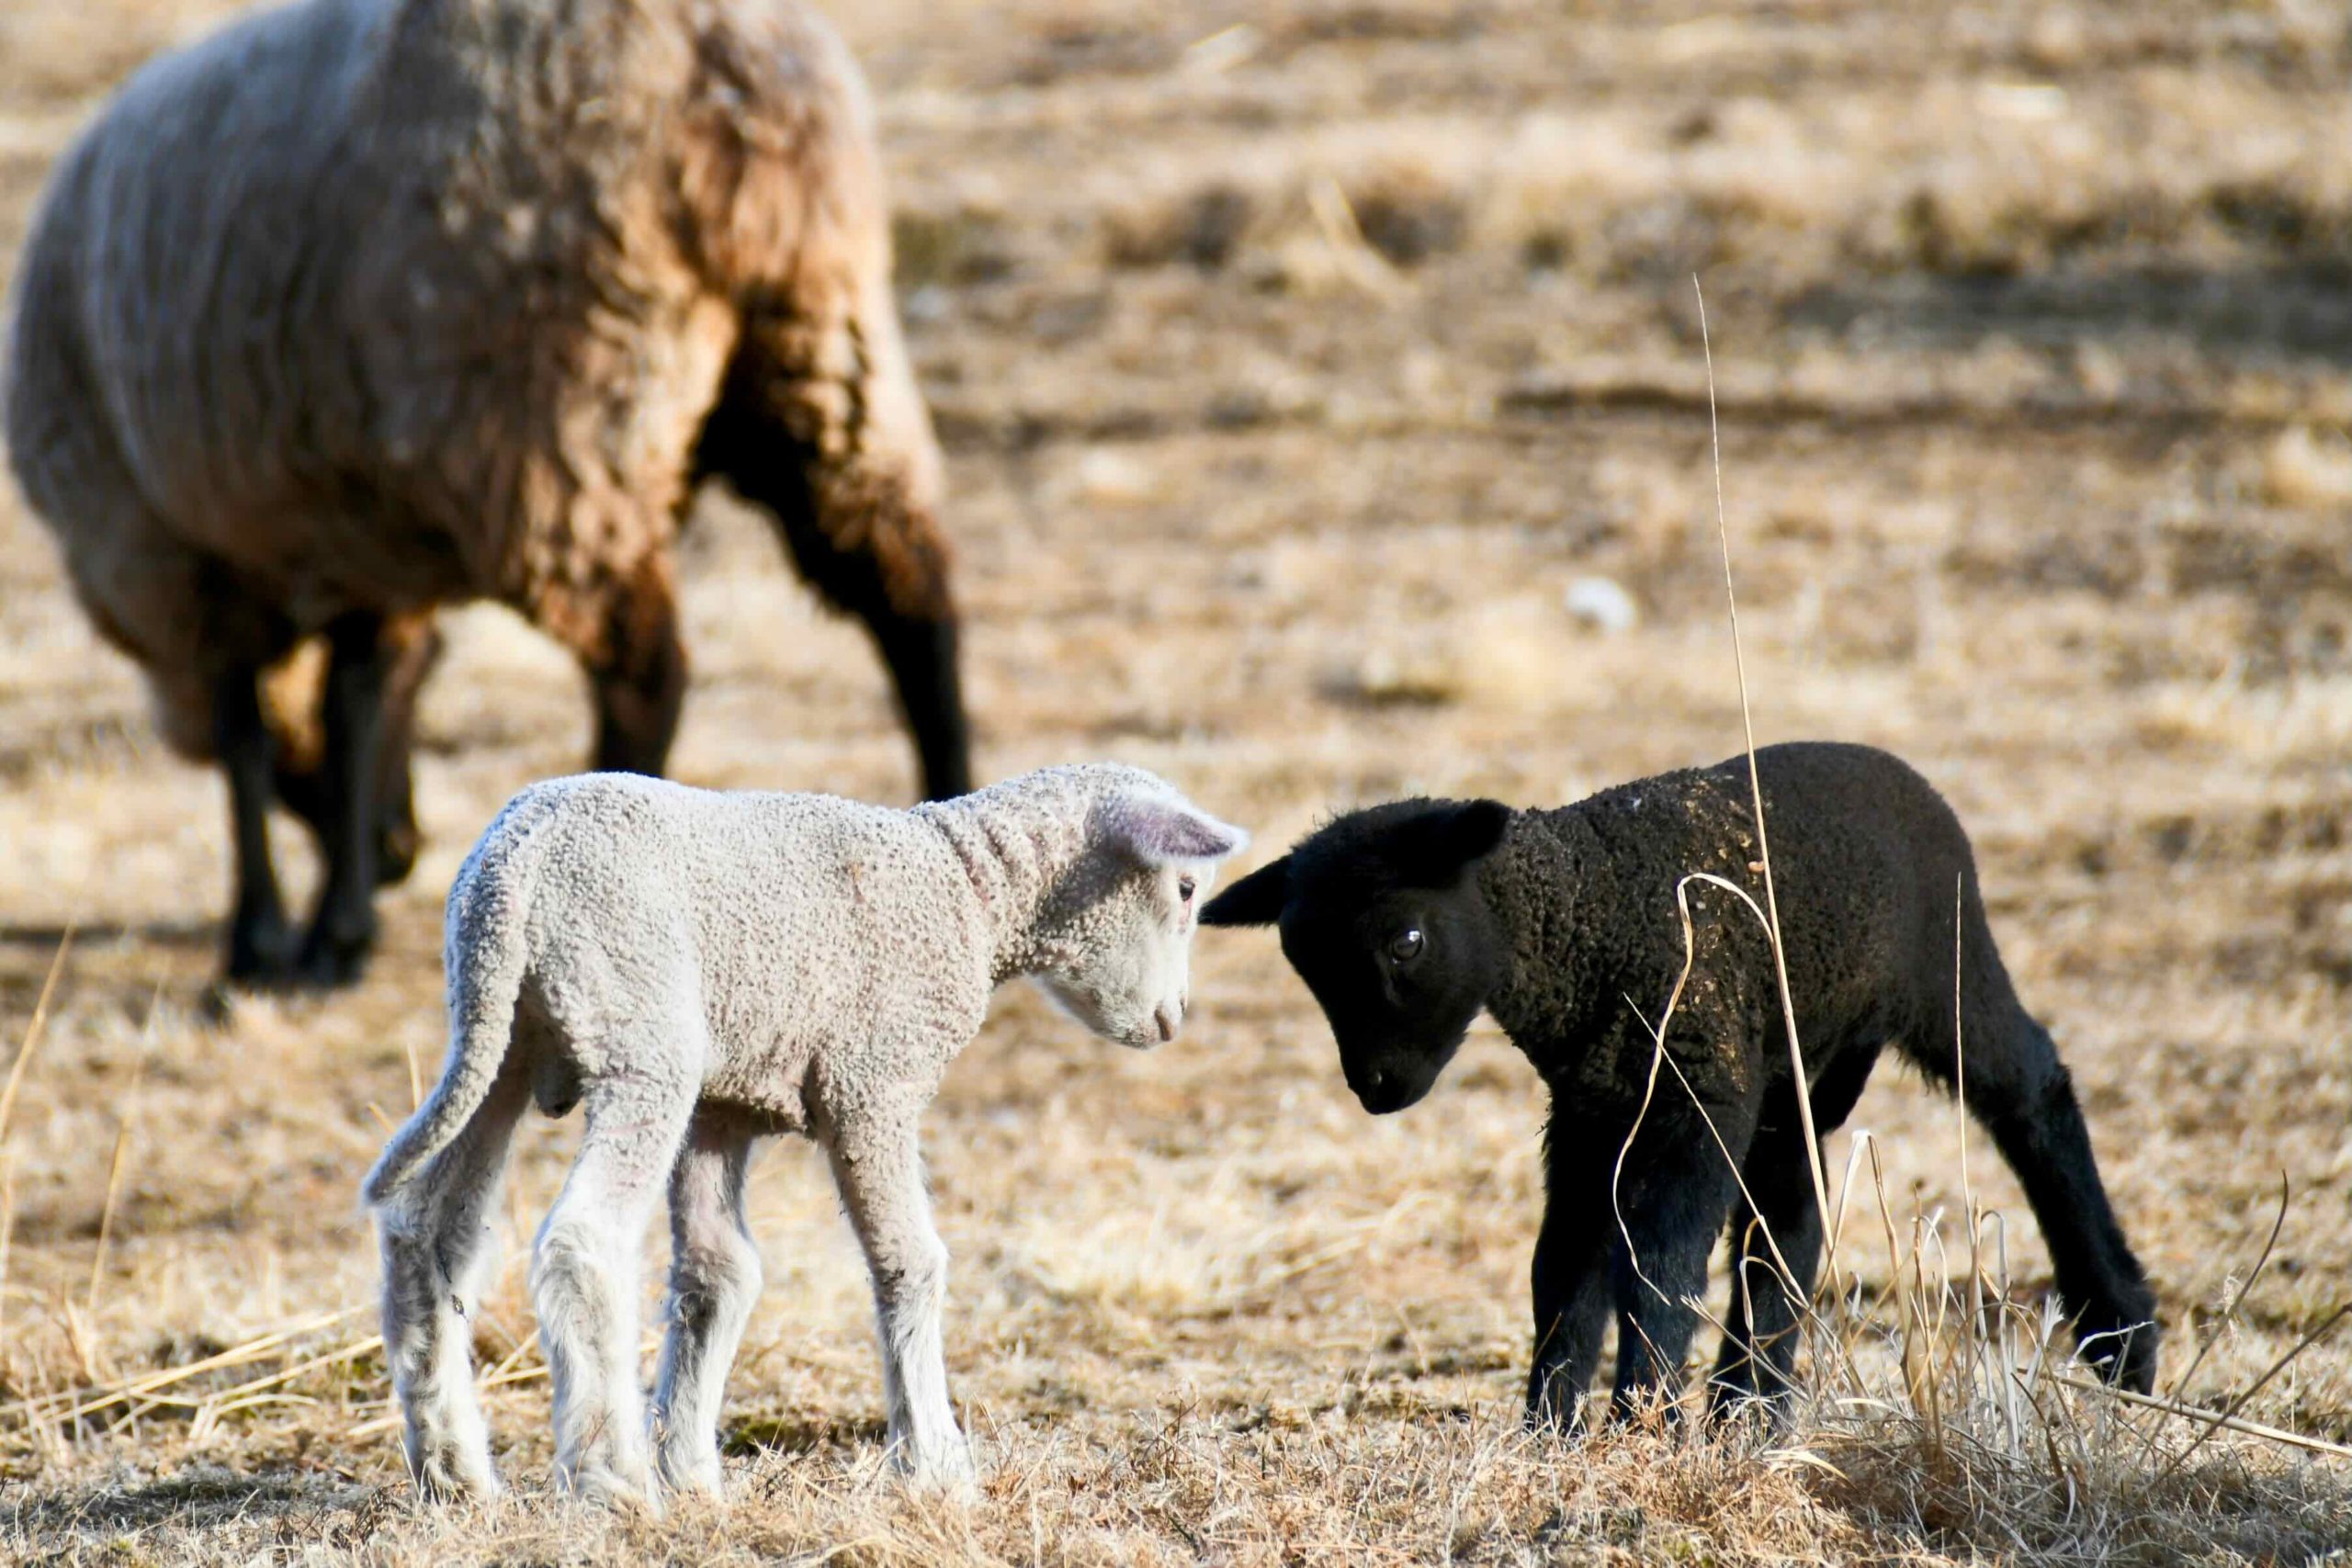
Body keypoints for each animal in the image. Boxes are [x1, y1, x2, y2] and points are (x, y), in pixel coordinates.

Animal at [2, 0, 969, 992]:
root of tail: (731, 75)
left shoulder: (176, 556)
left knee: (647, 671)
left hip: (551, 417)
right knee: (909, 599)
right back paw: (946, 826)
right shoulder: (355, 544)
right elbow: (356, 702)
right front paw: (335, 930)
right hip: (819, 345)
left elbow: (248, 737)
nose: (399, 851)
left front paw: (262, 939)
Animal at [362, 762, 1247, 1506]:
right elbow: (910, 1264)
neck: (970, 889)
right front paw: (936, 1465)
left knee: (428, 1232)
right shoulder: (873, 1082)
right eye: (1187, 887)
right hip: (641, 1032)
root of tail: (515, 865)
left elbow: (717, 1275)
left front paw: (695, 1473)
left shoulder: (722, 1105)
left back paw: (453, 1472)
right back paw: (613, 1481)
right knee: (583, 1240)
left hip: (502, 1039)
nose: (1174, 1019)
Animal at [1200, 741, 2158, 1428]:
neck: (1589, 925)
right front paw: (1553, 1431)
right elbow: (1564, 1267)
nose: (1377, 1085)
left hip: (1946, 965)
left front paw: (1639, 1423)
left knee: (2031, 1087)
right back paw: (1747, 1412)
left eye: (1405, 938)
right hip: (1790, 1066)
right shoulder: (1592, 1111)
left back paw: (2123, 1336)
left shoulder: (1694, 1100)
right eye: (1300, 962)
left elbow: (1656, 1268)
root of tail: (1902, 772)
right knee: (1788, 1214)